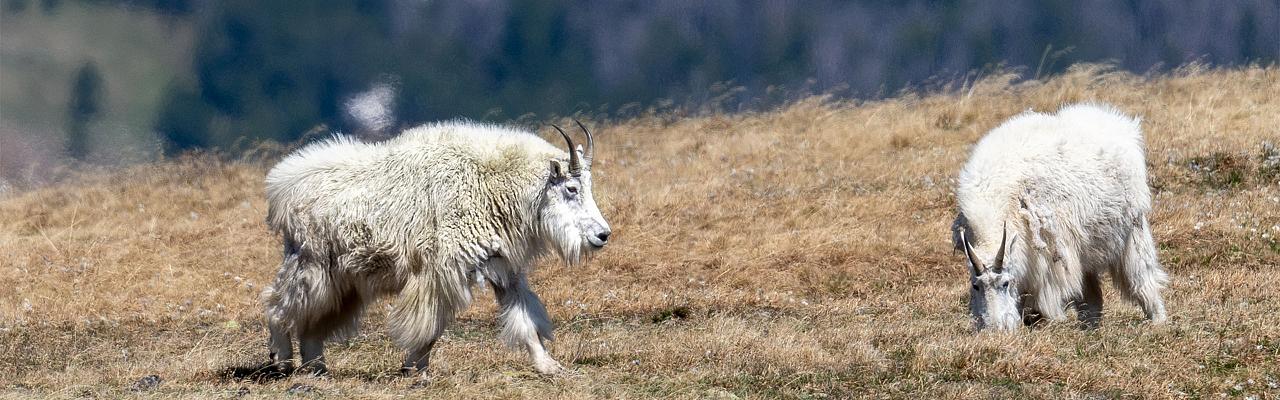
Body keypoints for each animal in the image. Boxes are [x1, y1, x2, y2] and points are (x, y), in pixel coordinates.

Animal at [259, 120, 609, 376]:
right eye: (571, 188)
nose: (603, 235)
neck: (494, 186)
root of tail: (281, 188)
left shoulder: (501, 268)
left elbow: (525, 320)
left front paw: (550, 366)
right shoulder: (441, 270)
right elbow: (430, 326)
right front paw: (415, 368)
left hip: (345, 280)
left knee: (311, 322)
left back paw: (316, 367)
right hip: (313, 263)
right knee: (277, 304)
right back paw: (281, 359)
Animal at [952, 103, 1172, 330]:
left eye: (1005, 283)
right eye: (975, 286)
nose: (996, 329)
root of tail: (1124, 126)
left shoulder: (1051, 253)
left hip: (1133, 230)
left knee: (1142, 277)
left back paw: (1158, 320)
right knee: (1091, 296)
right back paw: (1090, 329)